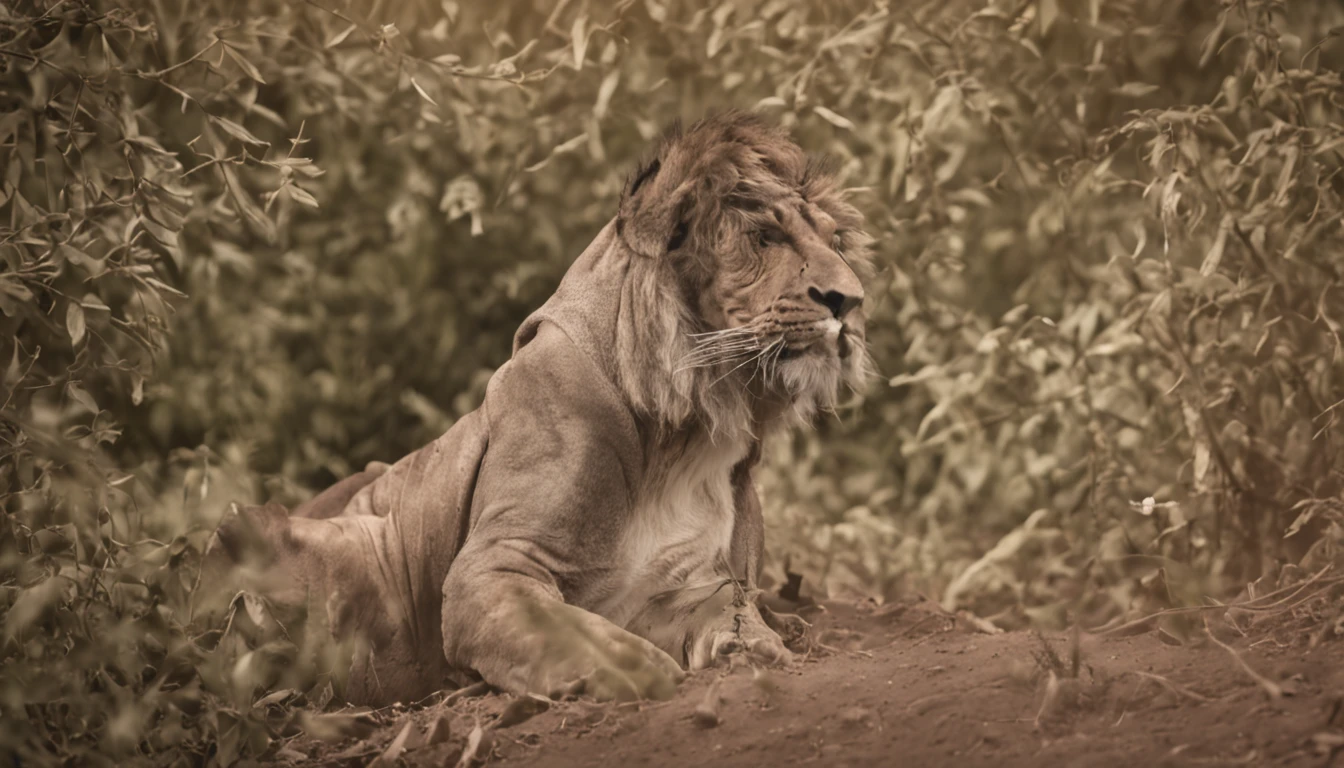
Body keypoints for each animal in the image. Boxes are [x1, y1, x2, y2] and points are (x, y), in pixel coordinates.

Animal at [212, 110, 870, 704]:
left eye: (835, 241)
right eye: (765, 237)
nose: (851, 301)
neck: (691, 428)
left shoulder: (683, 586)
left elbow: (730, 611)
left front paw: (754, 644)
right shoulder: (495, 569)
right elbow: (572, 634)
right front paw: (640, 671)